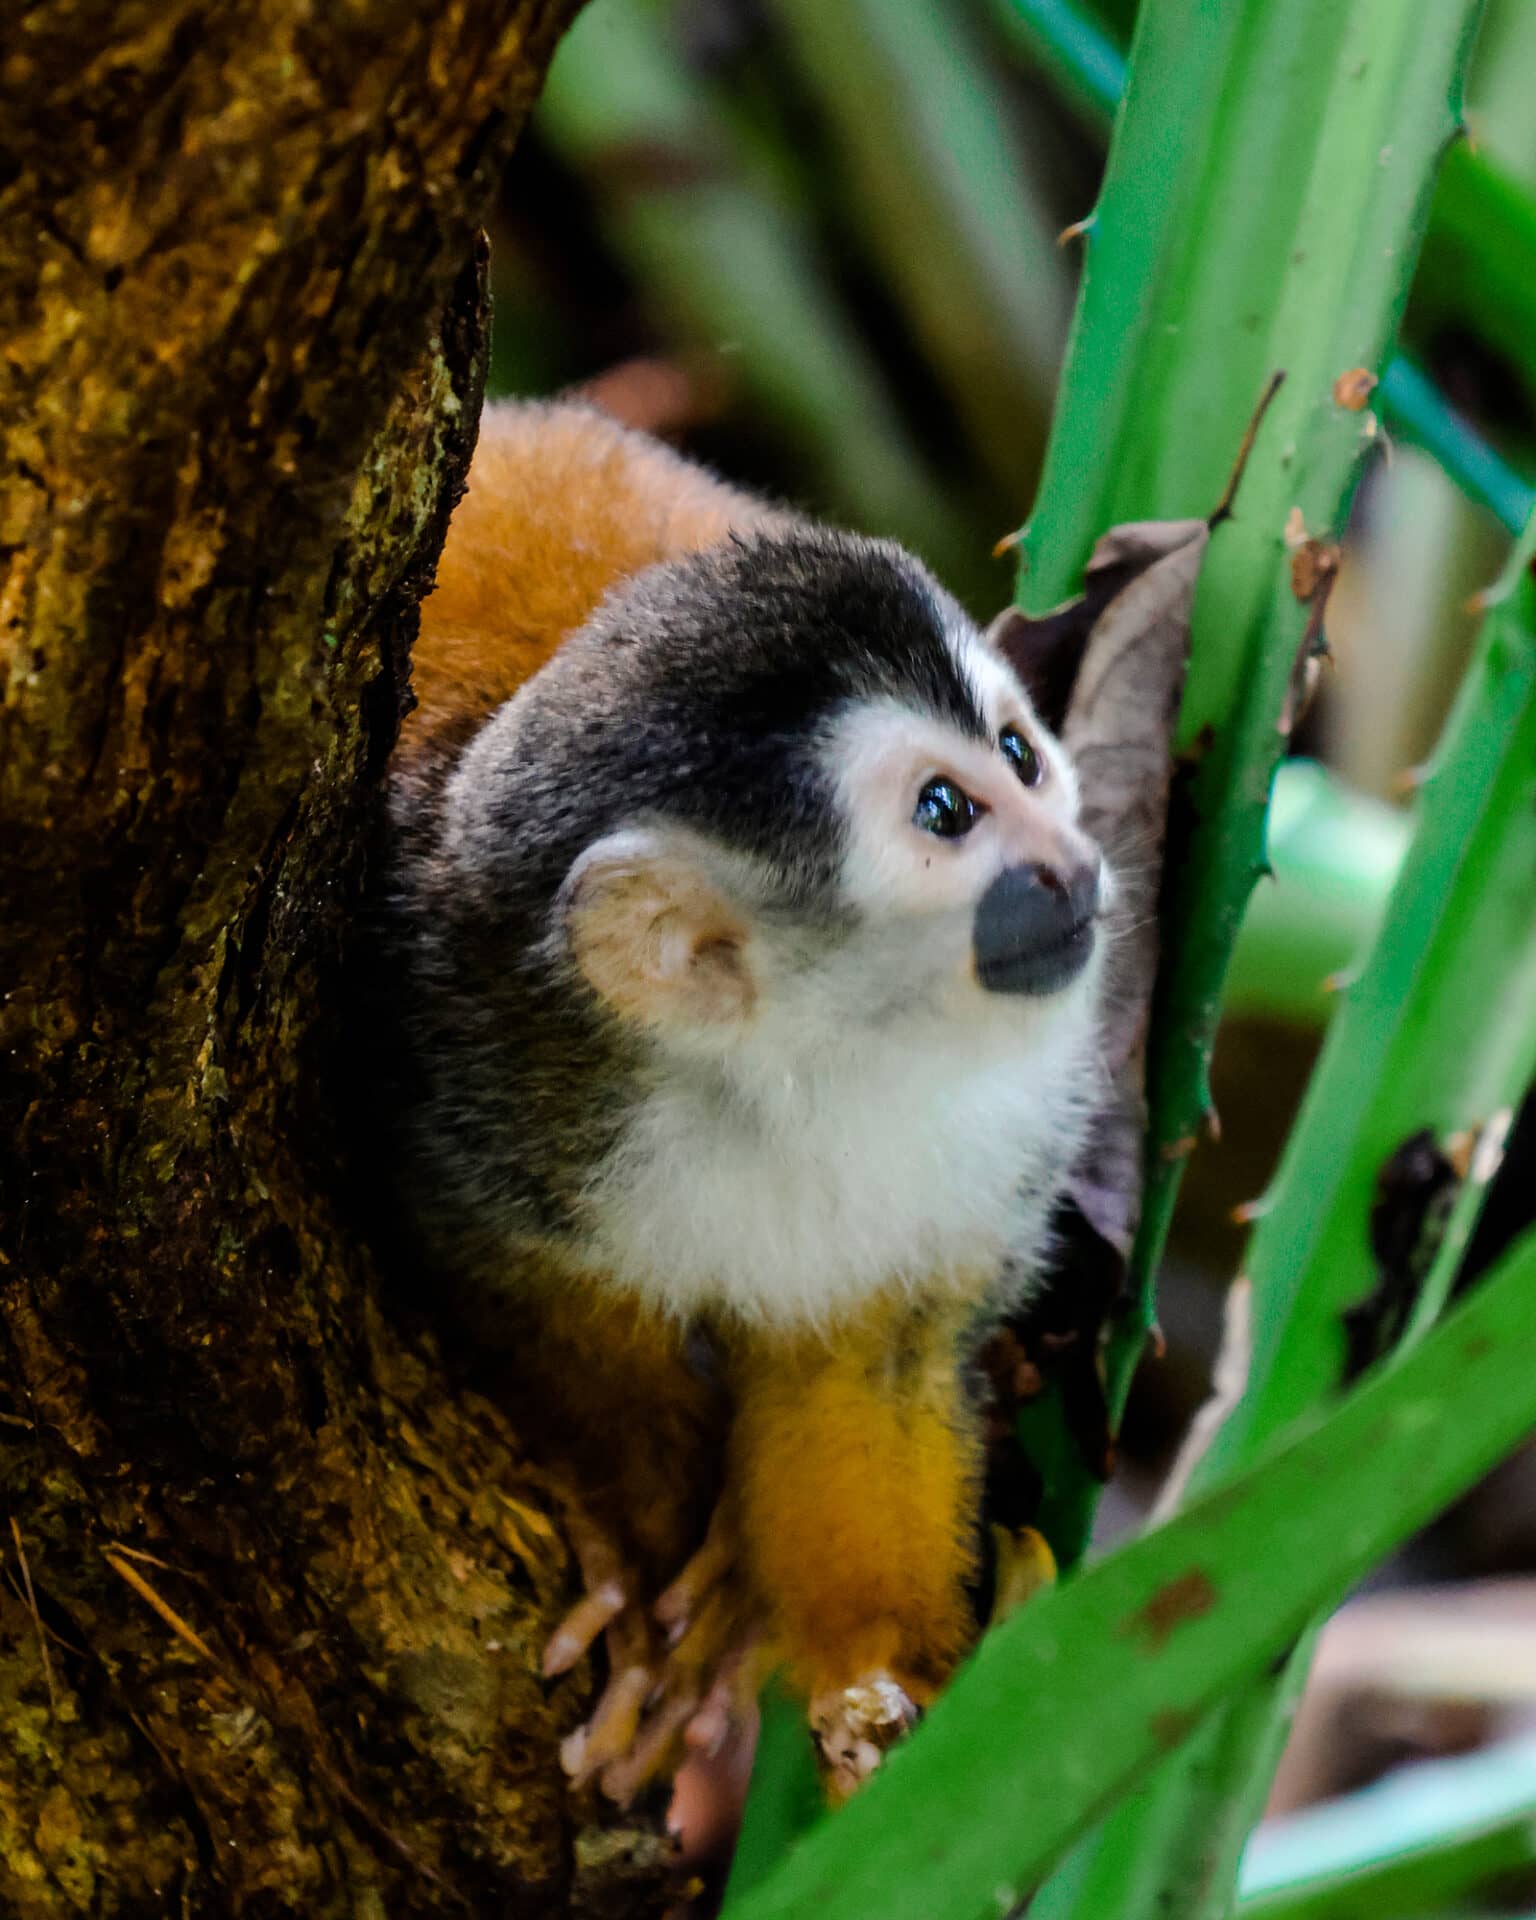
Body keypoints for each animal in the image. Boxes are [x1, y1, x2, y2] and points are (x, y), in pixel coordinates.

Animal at [378, 397, 1113, 1804]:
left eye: (1018, 754)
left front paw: (867, 1683)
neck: (811, 1056)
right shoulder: (494, 1062)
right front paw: (646, 1542)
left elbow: (873, 1359)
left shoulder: (1018, 1118)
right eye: (948, 811)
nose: (1071, 867)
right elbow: (517, 1277)